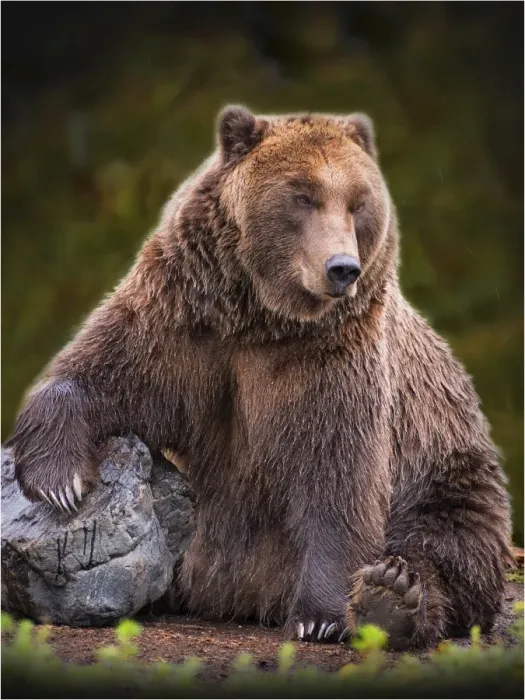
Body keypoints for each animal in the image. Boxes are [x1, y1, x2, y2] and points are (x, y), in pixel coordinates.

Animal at [8, 105, 513, 650]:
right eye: (302, 195)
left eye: (358, 202)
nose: (343, 268)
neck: (261, 319)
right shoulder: (184, 321)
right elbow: (103, 374)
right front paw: (59, 482)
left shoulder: (331, 361)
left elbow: (336, 476)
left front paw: (322, 615)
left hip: (443, 460)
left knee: (453, 539)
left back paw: (393, 593)